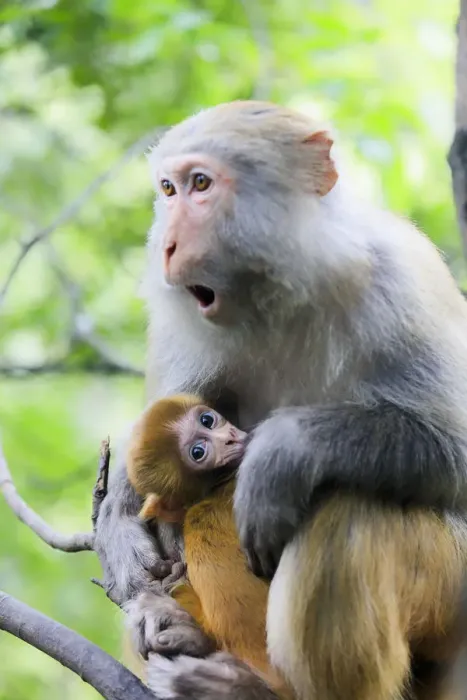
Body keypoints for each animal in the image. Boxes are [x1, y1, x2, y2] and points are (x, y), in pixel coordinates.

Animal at [93, 100, 467, 699]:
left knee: (347, 512)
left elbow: (456, 454)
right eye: (168, 190)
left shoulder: (403, 285)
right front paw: (124, 535)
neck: (281, 296)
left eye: (201, 184)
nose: (166, 244)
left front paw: (281, 453)